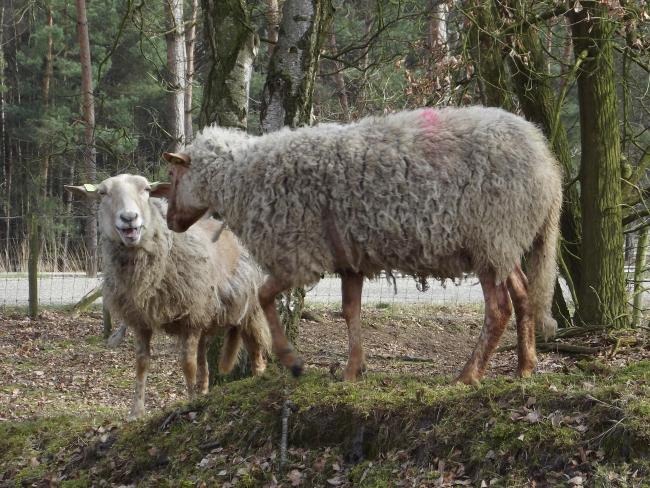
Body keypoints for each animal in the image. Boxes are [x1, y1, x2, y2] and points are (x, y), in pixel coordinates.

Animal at [64, 175, 270, 420]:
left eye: (146, 190)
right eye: (103, 193)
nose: (129, 218)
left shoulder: (191, 317)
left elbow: (187, 364)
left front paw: (190, 405)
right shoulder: (141, 320)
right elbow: (142, 364)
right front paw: (136, 412)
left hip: (249, 309)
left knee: (255, 350)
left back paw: (258, 379)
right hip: (206, 316)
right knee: (204, 361)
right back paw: (203, 391)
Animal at [159, 106, 560, 386]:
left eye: (174, 175)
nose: (170, 222)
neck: (244, 178)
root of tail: (547, 165)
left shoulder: (300, 253)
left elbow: (265, 296)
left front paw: (292, 359)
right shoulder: (348, 256)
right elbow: (350, 310)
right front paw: (353, 369)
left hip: (491, 236)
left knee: (499, 308)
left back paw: (468, 374)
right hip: (503, 243)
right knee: (523, 294)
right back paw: (525, 366)